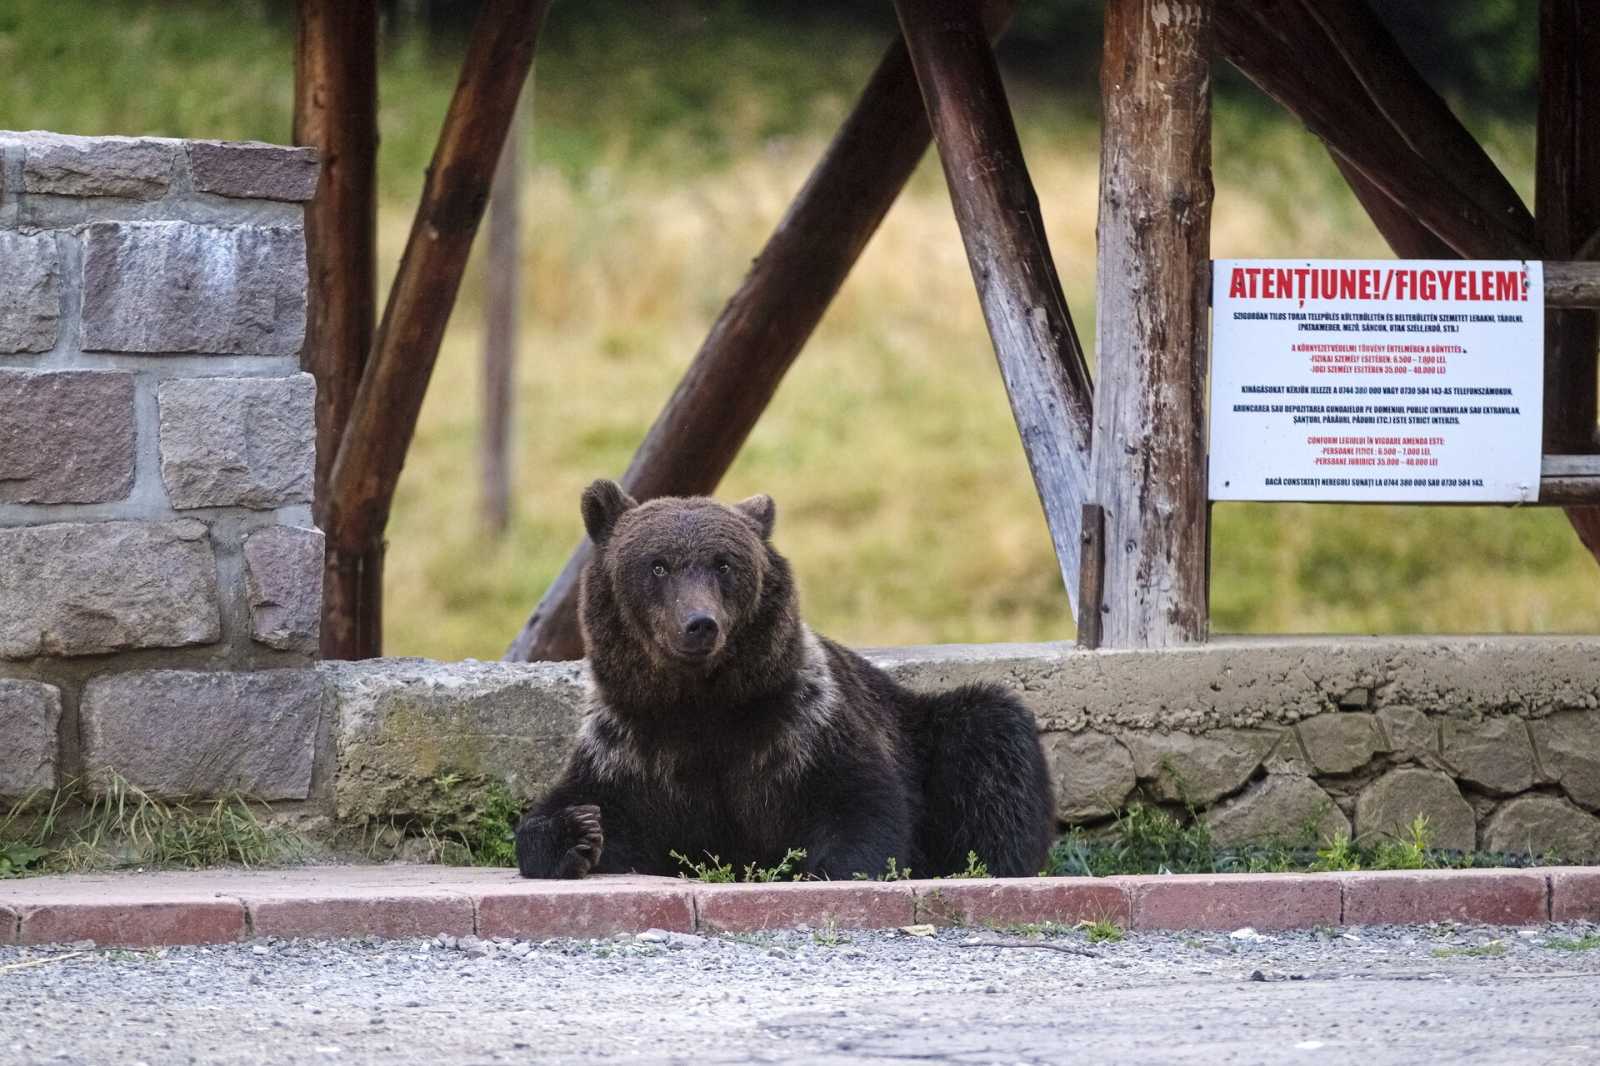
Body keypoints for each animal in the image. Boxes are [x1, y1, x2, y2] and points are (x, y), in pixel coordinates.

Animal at [518, 476, 1056, 877]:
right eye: (657, 566)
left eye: (724, 563)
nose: (699, 623)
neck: (699, 707)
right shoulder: (631, 749)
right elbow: (578, 813)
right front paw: (577, 832)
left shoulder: (799, 729)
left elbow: (861, 806)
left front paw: (831, 867)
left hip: (926, 727)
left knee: (991, 737)